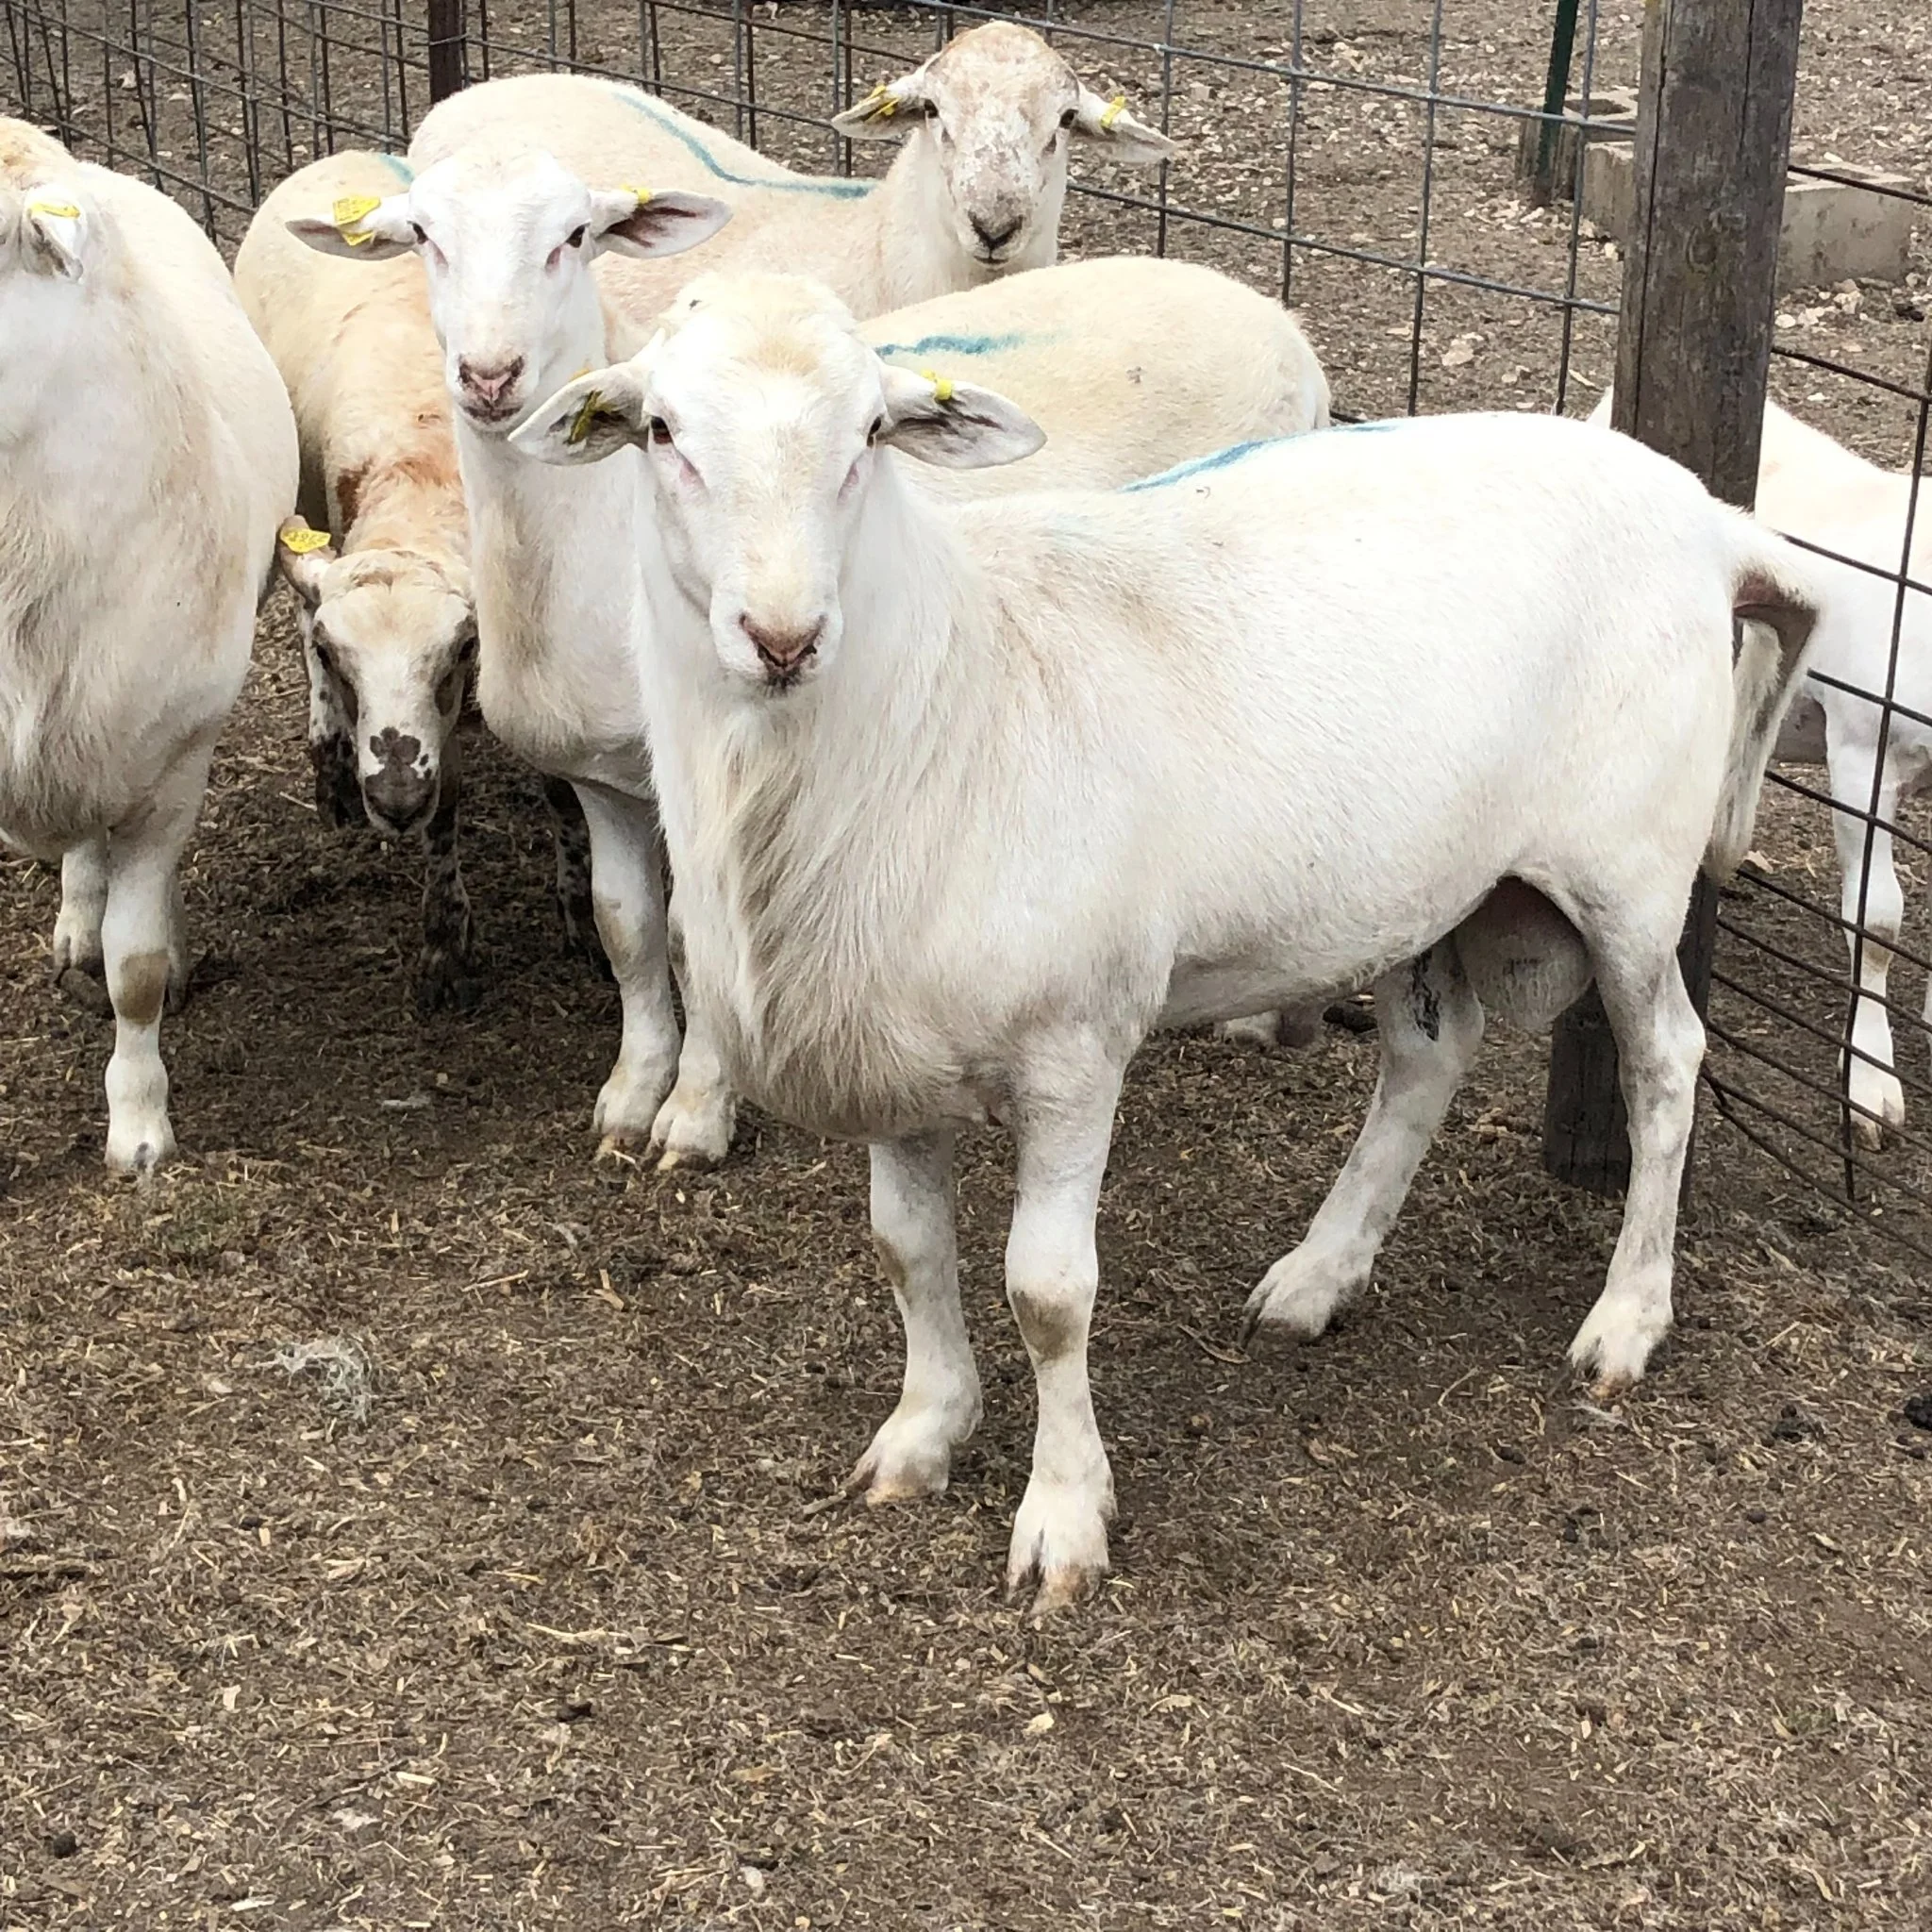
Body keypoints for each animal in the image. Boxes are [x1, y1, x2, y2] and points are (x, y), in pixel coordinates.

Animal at [234, 149, 486, 1013]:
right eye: (340, 654)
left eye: (461, 650)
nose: (395, 801)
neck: (426, 468)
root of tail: (340, 157)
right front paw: (444, 949)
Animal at [290, 138, 1330, 1168]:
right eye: (423, 236)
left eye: (575, 236)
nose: (490, 374)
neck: (583, 541)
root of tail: (1280, 325)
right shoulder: (602, 779)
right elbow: (627, 927)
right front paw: (629, 1094)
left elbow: (689, 941)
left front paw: (694, 1114)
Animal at [512, 278, 1818, 1614]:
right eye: (660, 430)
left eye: (872, 431)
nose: (782, 636)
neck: (943, 689)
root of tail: (1709, 520)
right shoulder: (890, 1037)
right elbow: (906, 1247)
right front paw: (923, 1431)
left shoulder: (1074, 1046)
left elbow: (1046, 1291)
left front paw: (1062, 1517)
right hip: (1441, 874)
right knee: (1427, 1055)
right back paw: (1317, 1275)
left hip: (1629, 869)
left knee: (1665, 1066)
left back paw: (1625, 1316)